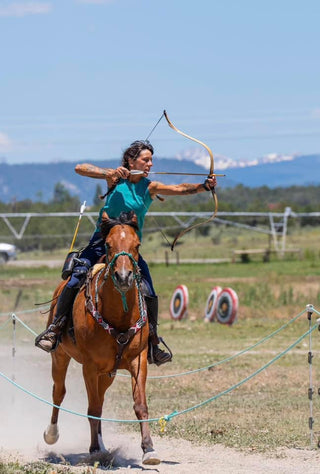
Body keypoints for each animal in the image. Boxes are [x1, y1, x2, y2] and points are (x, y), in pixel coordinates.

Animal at [43, 212, 160, 466]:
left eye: (137, 245)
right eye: (108, 244)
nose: (124, 277)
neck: (119, 317)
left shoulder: (138, 361)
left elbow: (140, 405)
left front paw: (149, 449)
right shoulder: (89, 366)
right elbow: (93, 409)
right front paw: (94, 449)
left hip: (108, 374)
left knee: (101, 400)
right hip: (60, 357)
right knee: (59, 393)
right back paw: (52, 434)